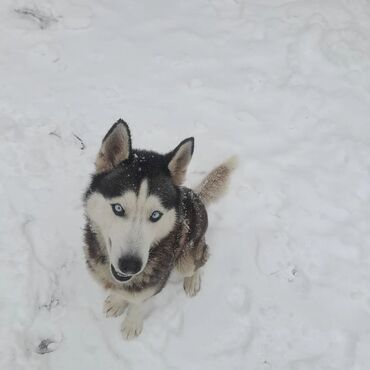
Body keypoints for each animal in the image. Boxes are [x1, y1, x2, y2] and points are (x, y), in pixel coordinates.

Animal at [82, 120, 236, 340]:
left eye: (155, 215)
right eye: (118, 208)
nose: (130, 265)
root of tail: (195, 195)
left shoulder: (155, 282)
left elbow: (139, 300)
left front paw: (132, 323)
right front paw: (118, 302)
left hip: (187, 256)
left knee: (201, 259)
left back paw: (193, 280)